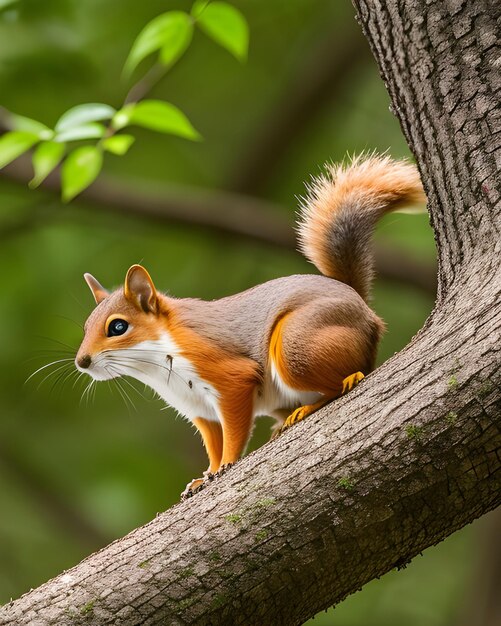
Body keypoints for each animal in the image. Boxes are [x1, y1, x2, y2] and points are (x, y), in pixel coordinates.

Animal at [75, 154, 426, 494]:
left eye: (118, 327)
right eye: (85, 326)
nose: (82, 361)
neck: (157, 365)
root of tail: (361, 305)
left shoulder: (227, 375)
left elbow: (233, 432)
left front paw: (227, 465)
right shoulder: (199, 408)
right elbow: (213, 443)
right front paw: (205, 476)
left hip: (296, 345)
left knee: (343, 381)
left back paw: (317, 402)